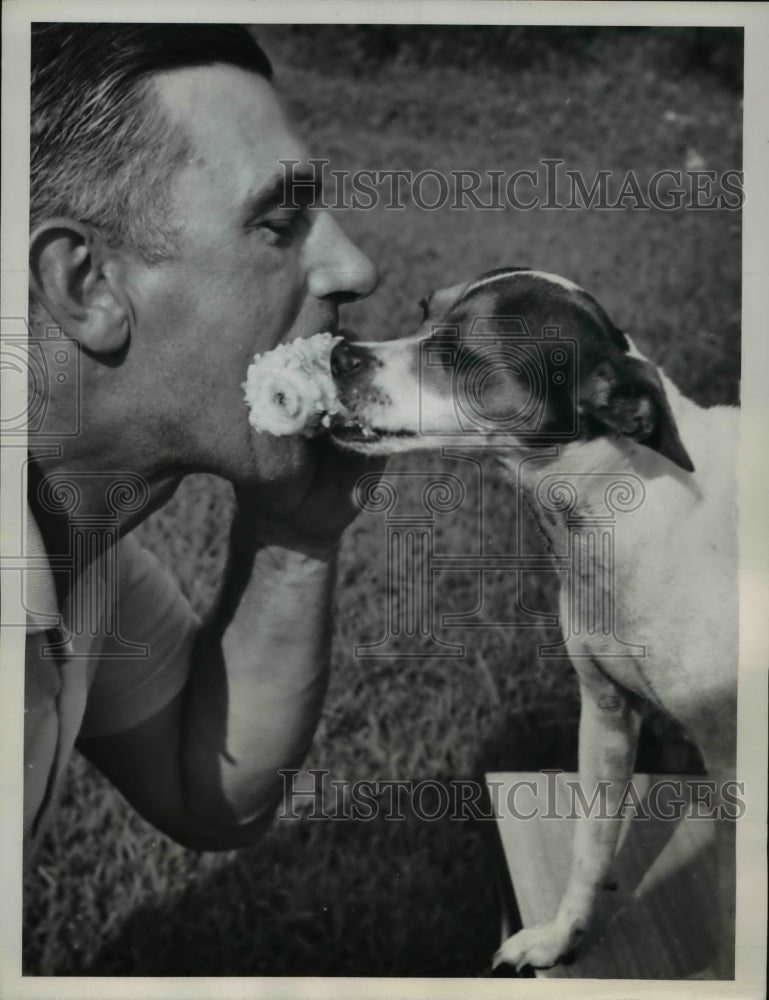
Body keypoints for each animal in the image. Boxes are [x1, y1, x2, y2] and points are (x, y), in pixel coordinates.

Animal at [330, 266, 736, 976]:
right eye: (424, 311)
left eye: (462, 353)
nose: (339, 353)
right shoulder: (606, 713)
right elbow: (589, 847)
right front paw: (560, 938)